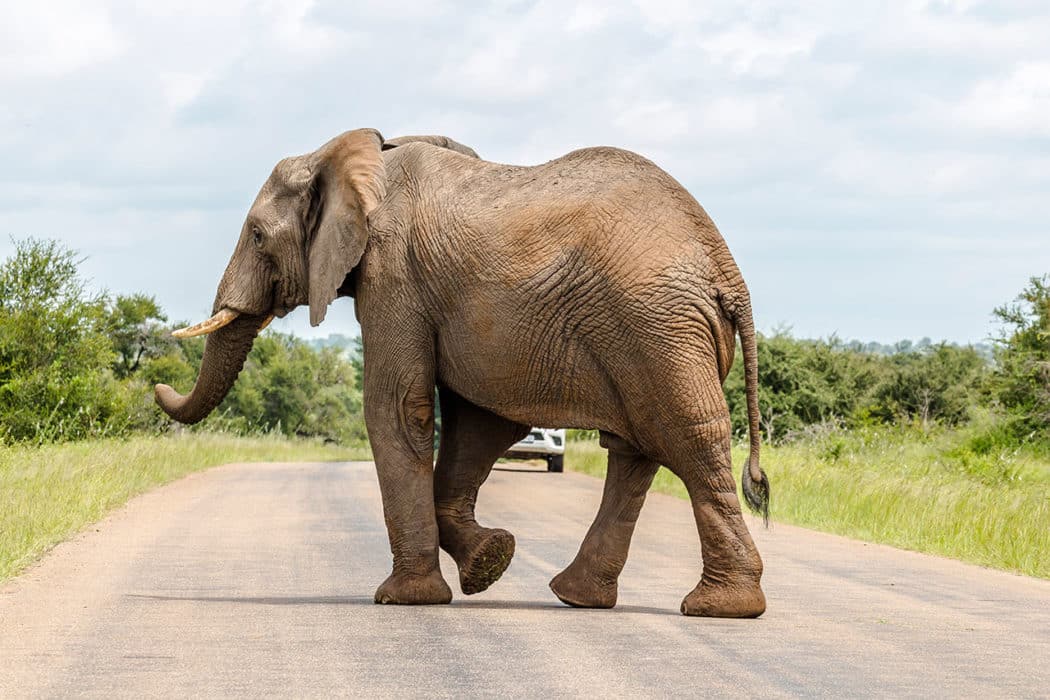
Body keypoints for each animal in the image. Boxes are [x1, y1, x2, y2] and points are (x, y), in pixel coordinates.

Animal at [159, 128, 776, 617]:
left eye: (257, 235)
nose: (160, 383)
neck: (349, 157)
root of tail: (725, 269)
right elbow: (479, 424)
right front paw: (489, 560)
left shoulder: (394, 275)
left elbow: (397, 408)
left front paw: (403, 600)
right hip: (655, 331)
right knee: (637, 450)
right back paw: (580, 596)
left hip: (656, 325)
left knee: (687, 440)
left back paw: (721, 607)